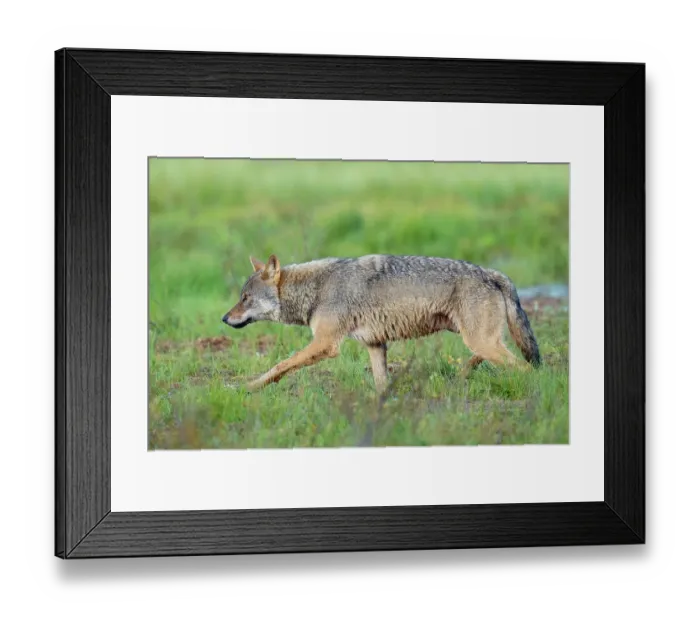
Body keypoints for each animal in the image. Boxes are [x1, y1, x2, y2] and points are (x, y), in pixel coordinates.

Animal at [222, 254, 541, 392]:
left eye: (245, 298)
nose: (224, 318)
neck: (317, 288)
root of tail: (492, 273)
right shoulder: (375, 344)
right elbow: (381, 384)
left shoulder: (325, 344)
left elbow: (279, 366)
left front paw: (247, 387)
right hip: (482, 341)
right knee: (490, 358)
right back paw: (462, 373)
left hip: (481, 341)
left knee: (526, 369)